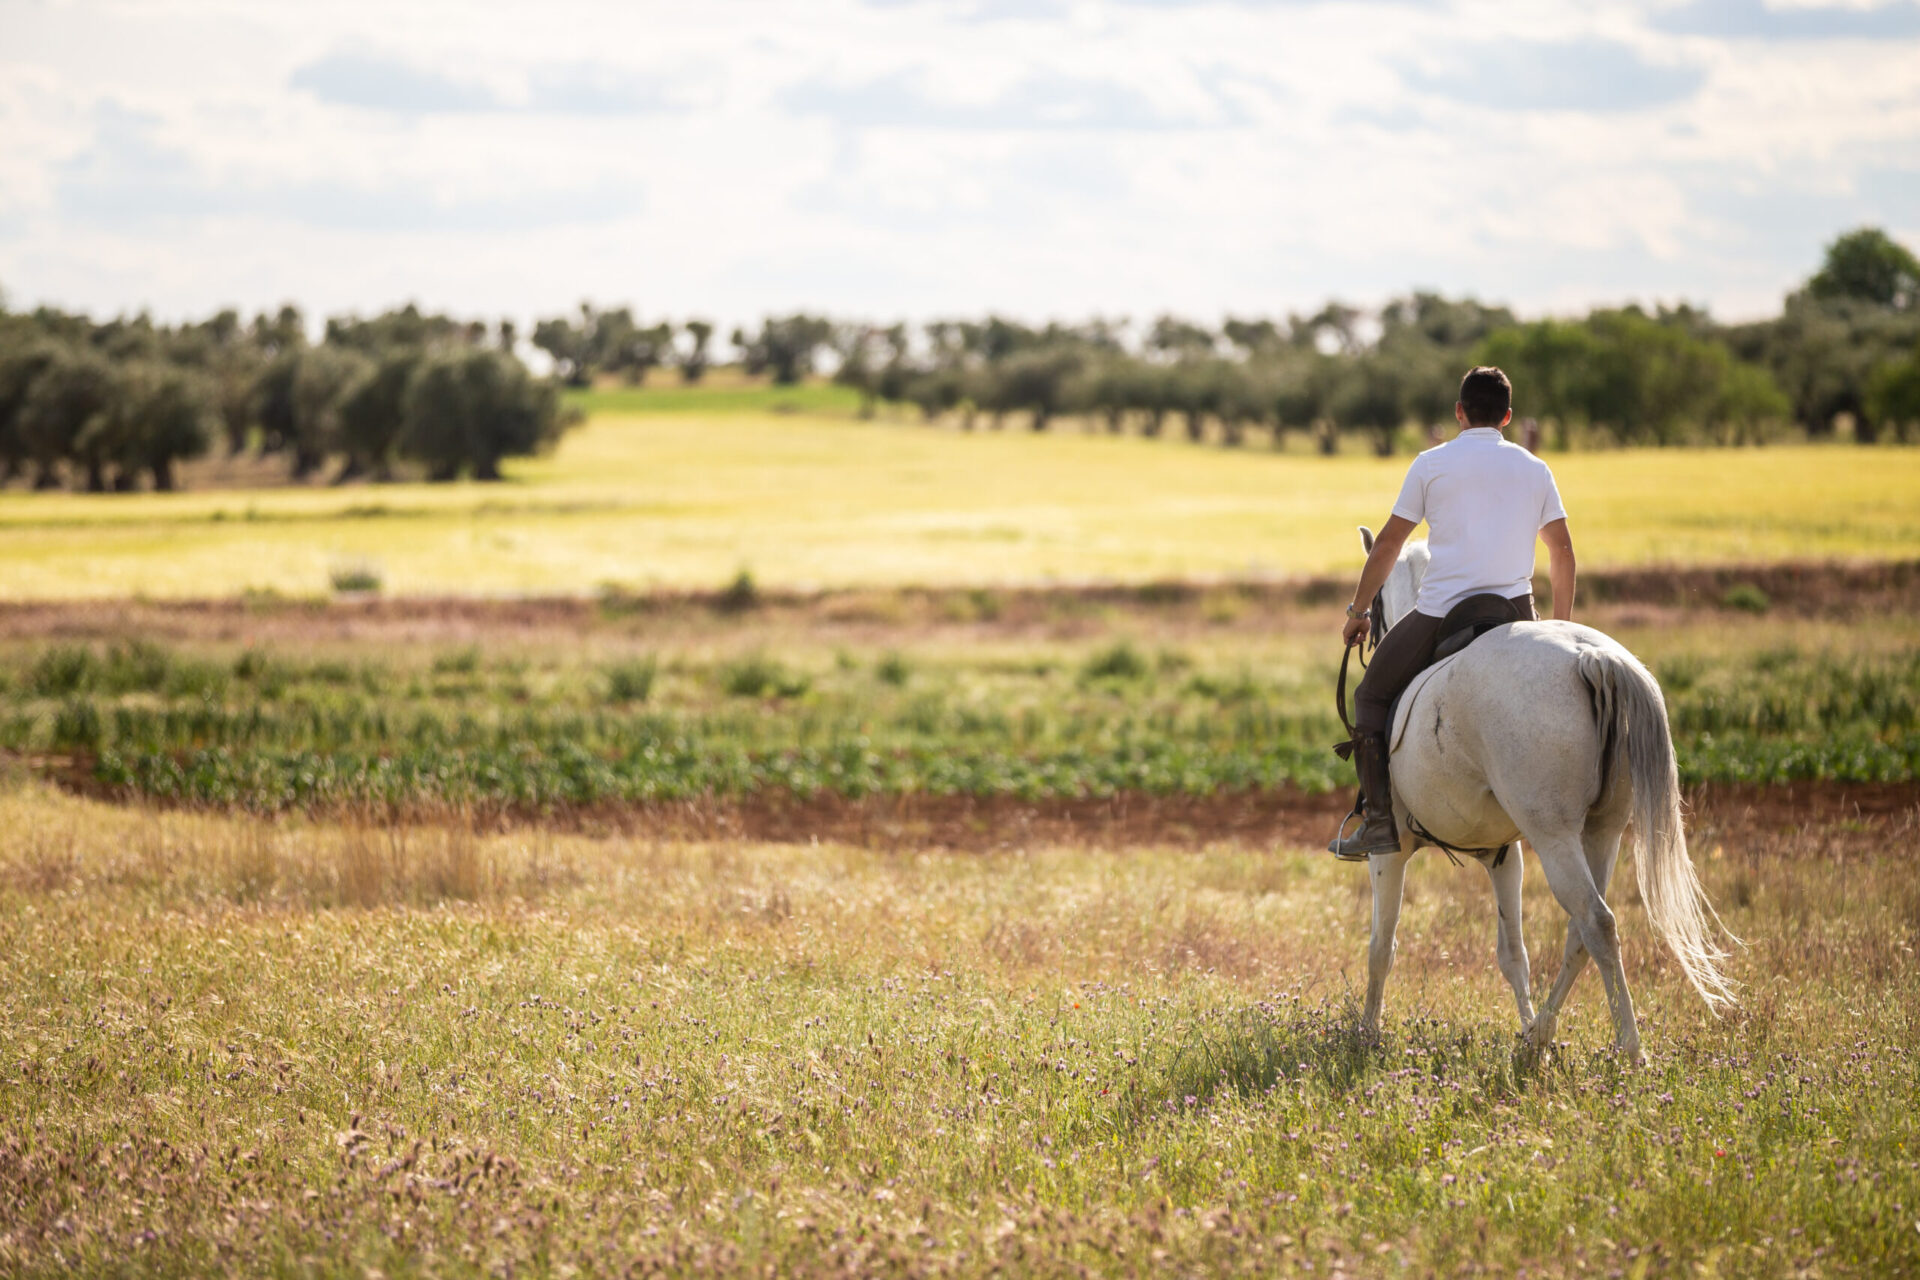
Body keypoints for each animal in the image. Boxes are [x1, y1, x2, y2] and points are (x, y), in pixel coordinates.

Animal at [1351, 527, 1734, 1061]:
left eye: (1376, 601)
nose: (1363, 629)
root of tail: (1593, 658)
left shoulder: (1389, 854)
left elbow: (1380, 948)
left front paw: (1366, 1035)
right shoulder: (1503, 856)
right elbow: (1514, 955)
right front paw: (1526, 1023)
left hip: (1555, 837)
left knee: (1596, 921)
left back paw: (1630, 1048)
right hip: (1602, 834)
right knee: (1582, 931)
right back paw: (1538, 1038)